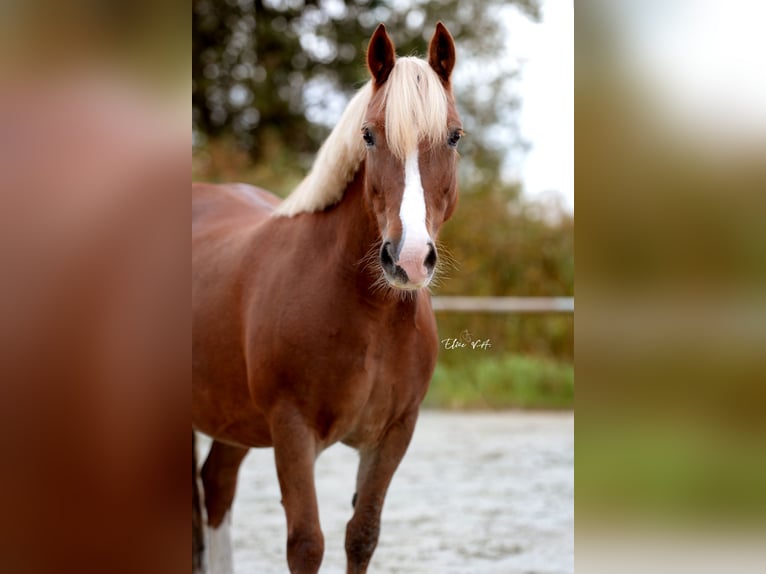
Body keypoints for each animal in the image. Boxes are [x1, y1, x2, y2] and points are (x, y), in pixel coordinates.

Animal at [195, 22, 464, 574]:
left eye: (453, 136)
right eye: (369, 135)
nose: (408, 259)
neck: (370, 316)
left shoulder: (393, 434)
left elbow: (361, 535)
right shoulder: (292, 432)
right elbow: (306, 544)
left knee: (217, 485)